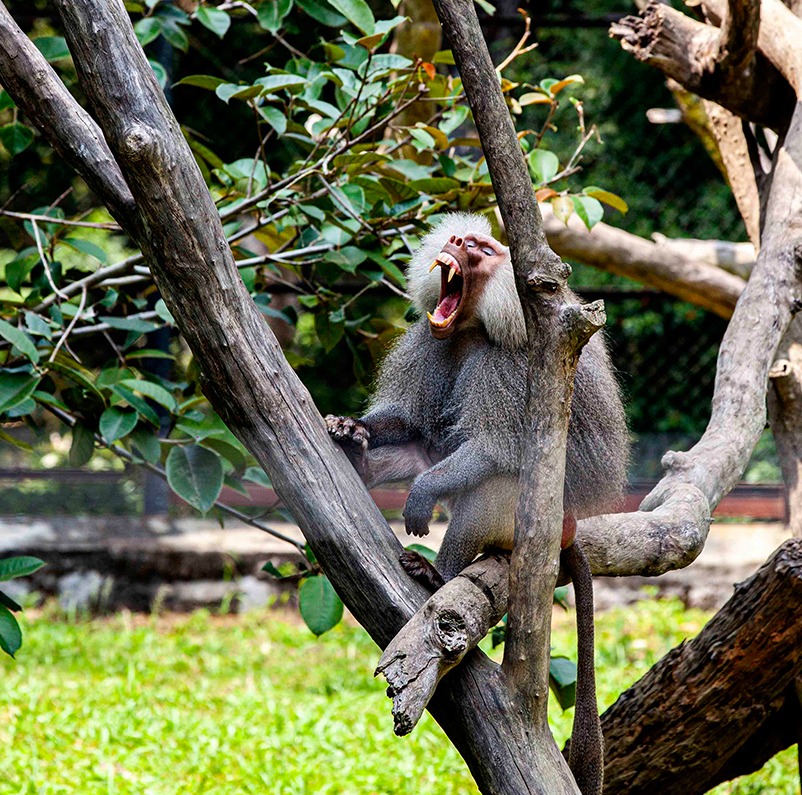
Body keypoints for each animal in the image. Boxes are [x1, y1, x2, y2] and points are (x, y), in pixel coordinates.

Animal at [326, 212, 628, 795]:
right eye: (459, 240)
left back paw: (436, 575)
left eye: (484, 250)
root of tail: (571, 527)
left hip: (536, 518)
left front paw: (420, 500)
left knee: (491, 487)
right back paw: (358, 456)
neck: (473, 329)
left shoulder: (512, 365)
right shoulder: (428, 344)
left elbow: (493, 448)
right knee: (424, 448)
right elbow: (412, 426)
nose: (458, 240)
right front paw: (353, 429)